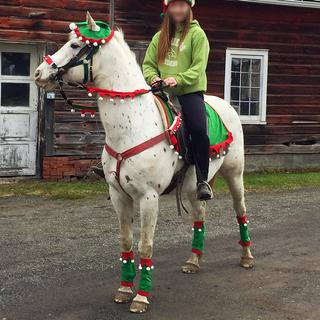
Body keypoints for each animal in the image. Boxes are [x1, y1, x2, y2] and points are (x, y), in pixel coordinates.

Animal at [35, 13, 254, 316]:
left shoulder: (149, 197)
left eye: (75, 44)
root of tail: (226, 105)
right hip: (192, 186)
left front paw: (141, 297)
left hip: (235, 175)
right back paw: (193, 261)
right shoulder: (119, 196)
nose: (38, 74)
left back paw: (246, 256)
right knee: (200, 214)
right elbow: (127, 242)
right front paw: (125, 289)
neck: (132, 127)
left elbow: (145, 246)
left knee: (240, 211)